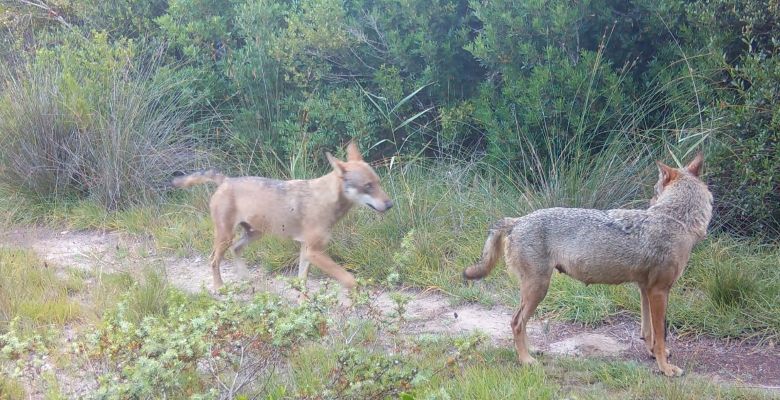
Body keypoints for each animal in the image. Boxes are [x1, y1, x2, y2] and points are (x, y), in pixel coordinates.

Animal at [174, 141, 394, 290]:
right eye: (368, 186)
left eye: (378, 182)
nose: (390, 204)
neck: (326, 199)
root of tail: (227, 180)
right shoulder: (314, 252)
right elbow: (350, 279)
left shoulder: (306, 251)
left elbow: (302, 283)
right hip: (226, 237)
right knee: (213, 260)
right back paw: (220, 288)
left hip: (254, 233)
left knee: (236, 249)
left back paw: (246, 278)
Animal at [464, 152, 712, 376]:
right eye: (655, 190)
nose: (650, 202)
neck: (677, 219)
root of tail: (517, 221)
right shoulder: (659, 291)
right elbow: (660, 334)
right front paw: (666, 368)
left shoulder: (645, 289)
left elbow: (648, 331)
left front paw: (653, 355)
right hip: (538, 289)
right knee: (516, 322)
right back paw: (526, 360)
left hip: (534, 290)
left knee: (521, 323)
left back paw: (531, 350)